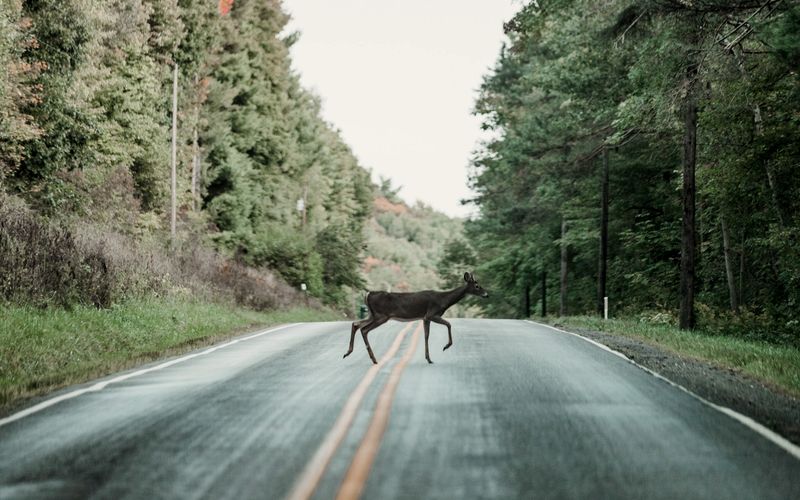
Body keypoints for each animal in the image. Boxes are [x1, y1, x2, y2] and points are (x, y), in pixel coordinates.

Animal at [343, 272, 489, 364]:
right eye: (477, 285)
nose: (487, 294)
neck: (444, 300)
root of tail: (368, 294)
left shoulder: (425, 317)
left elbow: (426, 335)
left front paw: (428, 358)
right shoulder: (432, 314)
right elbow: (448, 324)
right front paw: (445, 347)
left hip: (372, 314)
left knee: (356, 324)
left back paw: (348, 353)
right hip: (381, 315)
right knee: (364, 329)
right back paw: (373, 359)